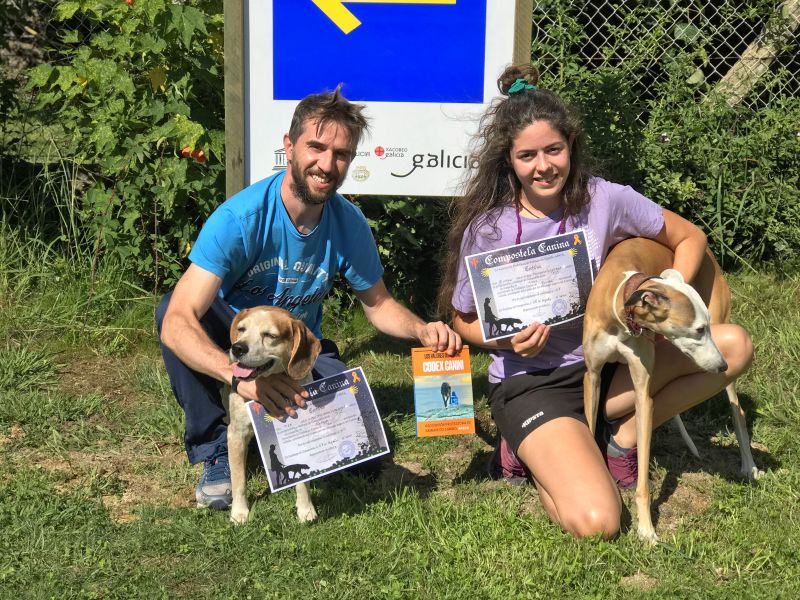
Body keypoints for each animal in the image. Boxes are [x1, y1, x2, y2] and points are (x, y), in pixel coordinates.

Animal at [222, 308, 322, 524]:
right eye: (241, 329)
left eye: (270, 335)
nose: (237, 348)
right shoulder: (237, 434)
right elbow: (238, 480)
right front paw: (239, 512)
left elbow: (302, 481)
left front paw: (305, 508)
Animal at [580, 239, 756, 544]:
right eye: (698, 329)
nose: (722, 365)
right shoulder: (592, 376)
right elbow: (591, 432)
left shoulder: (642, 391)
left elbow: (643, 480)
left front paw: (646, 529)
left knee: (738, 410)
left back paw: (749, 465)